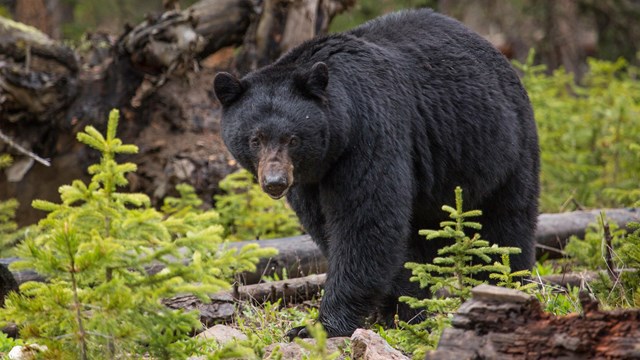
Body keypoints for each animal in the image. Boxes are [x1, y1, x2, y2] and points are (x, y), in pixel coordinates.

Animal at [215, 9, 540, 340]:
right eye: (255, 139)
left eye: (292, 138)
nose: (275, 182)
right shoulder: (310, 179)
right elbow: (328, 225)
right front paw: (400, 309)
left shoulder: (370, 133)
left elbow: (365, 222)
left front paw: (319, 326)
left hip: (501, 149)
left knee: (505, 226)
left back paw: (505, 285)